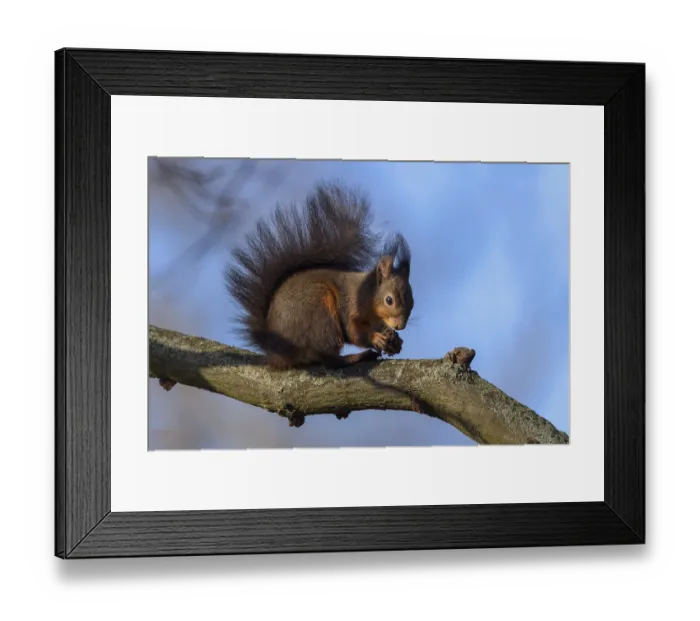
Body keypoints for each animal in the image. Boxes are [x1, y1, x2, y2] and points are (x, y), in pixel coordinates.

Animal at [225, 182, 414, 370]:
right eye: (389, 300)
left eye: (412, 302)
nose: (400, 326)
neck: (368, 298)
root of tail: (279, 354)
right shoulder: (350, 305)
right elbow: (354, 333)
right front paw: (376, 339)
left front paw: (395, 340)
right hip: (321, 314)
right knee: (327, 358)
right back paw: (355, 357)